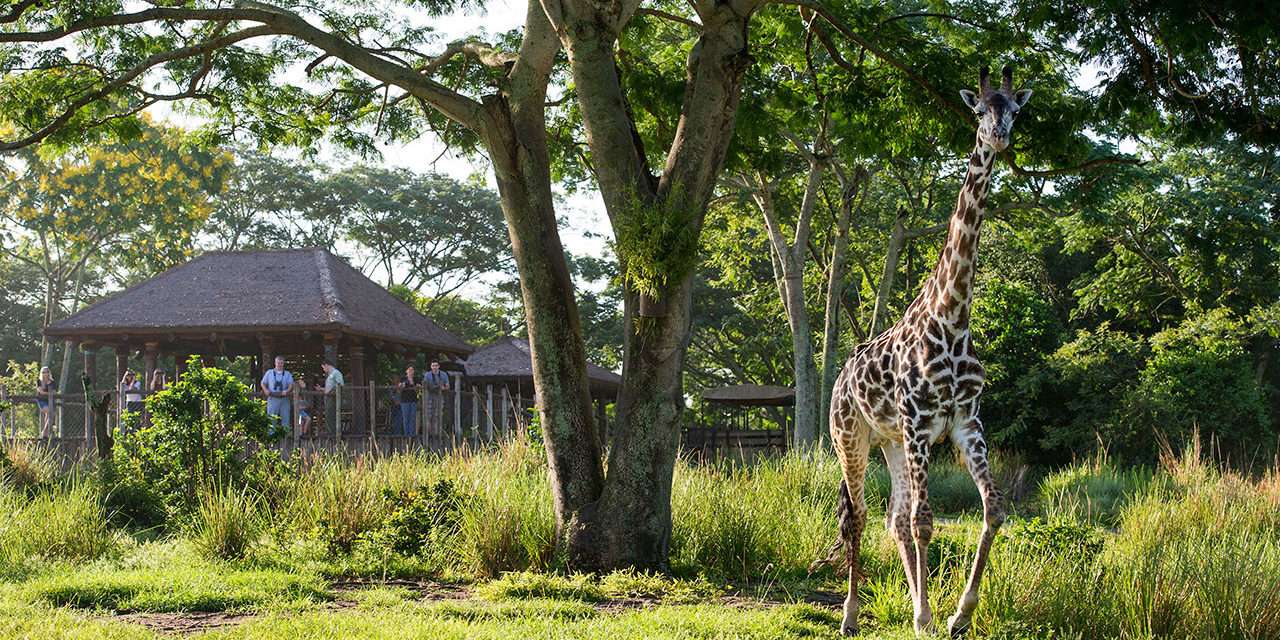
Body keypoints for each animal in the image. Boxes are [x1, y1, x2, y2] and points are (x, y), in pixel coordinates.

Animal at [829, 64, 1029, 634]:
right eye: (978, 109)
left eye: (1015, 109)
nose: (998, 136)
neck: (953, 316)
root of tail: (839, 378)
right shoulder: (921, 422)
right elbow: (925, 520)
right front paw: (926, 615)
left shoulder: (964, 422)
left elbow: (993, 508)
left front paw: (957, 615)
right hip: (850, 438)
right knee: (859, 517)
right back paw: (851, 614)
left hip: (892, 443)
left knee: (892, 518)